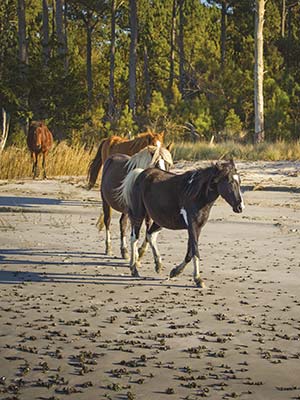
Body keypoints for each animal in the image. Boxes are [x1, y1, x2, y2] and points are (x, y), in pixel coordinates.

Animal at [120, 160, 245, 288]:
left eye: (239, 181)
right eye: (230, 182)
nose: (240, 207)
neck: (196, 194)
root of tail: (141, 173)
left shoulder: (197, 227)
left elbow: (190, 252)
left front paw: (175, 272)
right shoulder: (192, 226)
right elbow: (195, 251)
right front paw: (198, 279)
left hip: (160, 220)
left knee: (150, 235)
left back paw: (158, 265)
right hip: (139, 214)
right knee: (134, 238)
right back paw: (134, 268)